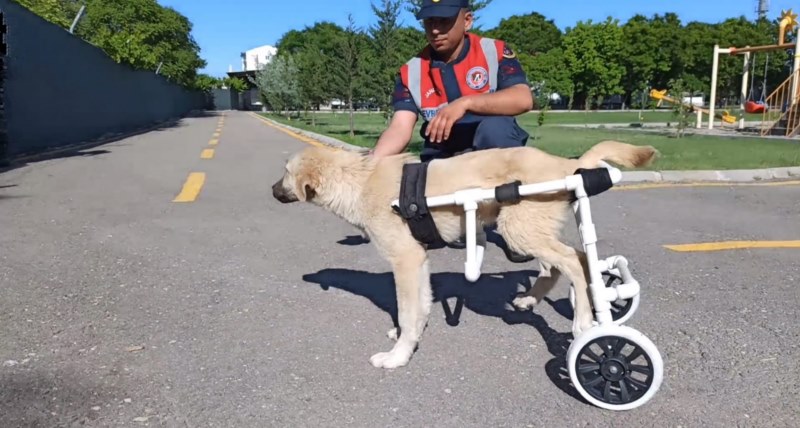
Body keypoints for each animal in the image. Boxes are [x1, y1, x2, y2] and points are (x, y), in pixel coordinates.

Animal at [272, 140, 660, 368]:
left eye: (286, 173)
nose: (272, 190)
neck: (358, 180)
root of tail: (566, 165)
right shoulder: (418, 262)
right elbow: (419, 308)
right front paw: (409, 337)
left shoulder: (406, 261)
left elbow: (408, 310)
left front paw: (398, 357)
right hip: (529, 230)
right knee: (567, 260)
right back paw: (540, 300)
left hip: (518, 229)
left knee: (574, 262)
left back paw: (584, 321)